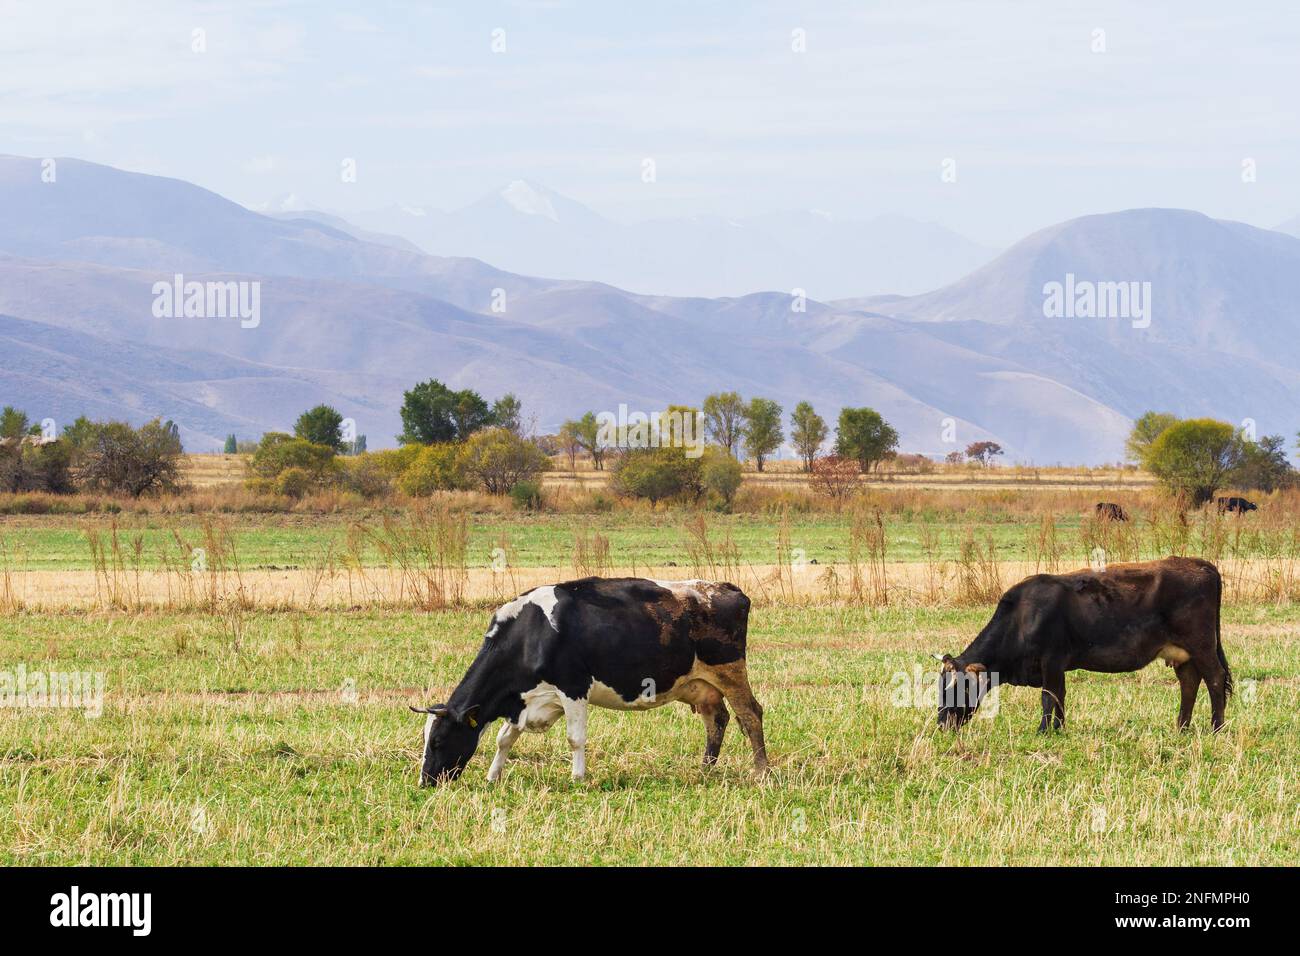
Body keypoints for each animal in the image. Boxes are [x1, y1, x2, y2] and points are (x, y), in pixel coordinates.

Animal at [411, 577, 767, 786]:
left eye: (438, 741)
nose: (425, 782)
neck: (533, 632)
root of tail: (725, 587)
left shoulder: (573, 688)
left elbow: (575, 739)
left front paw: (578, 777)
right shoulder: (526, 700)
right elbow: (504, 739)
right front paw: (493, 776)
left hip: (730, 670)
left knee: (751, 715)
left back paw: (761, 770)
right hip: (700, 685)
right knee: (717, 719)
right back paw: (705, 769)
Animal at [934, 556, 1231, 733]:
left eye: (959, 688)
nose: (942, 724)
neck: (1021, 617)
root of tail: (1199, 563)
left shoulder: (1051, 660)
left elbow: (1048, 697)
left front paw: (1043, 730)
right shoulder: (1057, 667)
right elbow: (1060, 696)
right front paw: (1059, 728)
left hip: (1202, 646)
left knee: (1215, 680)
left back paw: (1216, 727)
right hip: (1183, 654)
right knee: (1189, 683)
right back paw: (1181, 727)